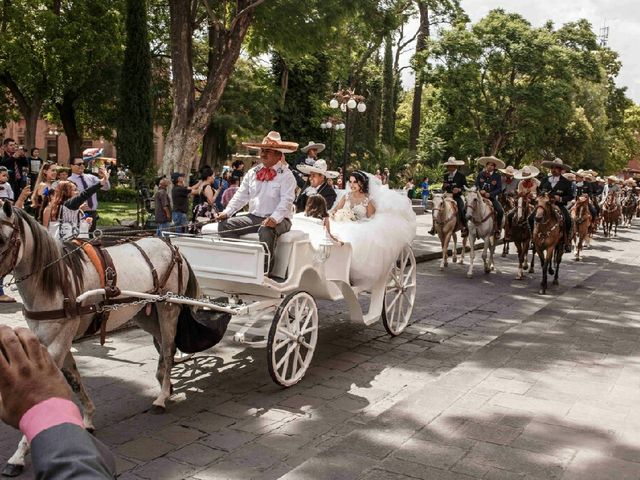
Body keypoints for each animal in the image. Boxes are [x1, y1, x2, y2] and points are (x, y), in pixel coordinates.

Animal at [0, 203, 206, 476]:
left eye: (2, 239)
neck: (56, 280)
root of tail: (171, 246)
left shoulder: (59, 342)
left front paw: (17, 457)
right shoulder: (51, 342)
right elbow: (75, 381)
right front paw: (87, 418)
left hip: (168, 308)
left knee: (170, 348)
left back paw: (162, 397)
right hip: (144, 313)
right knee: (163, 346)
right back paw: (166, 384)